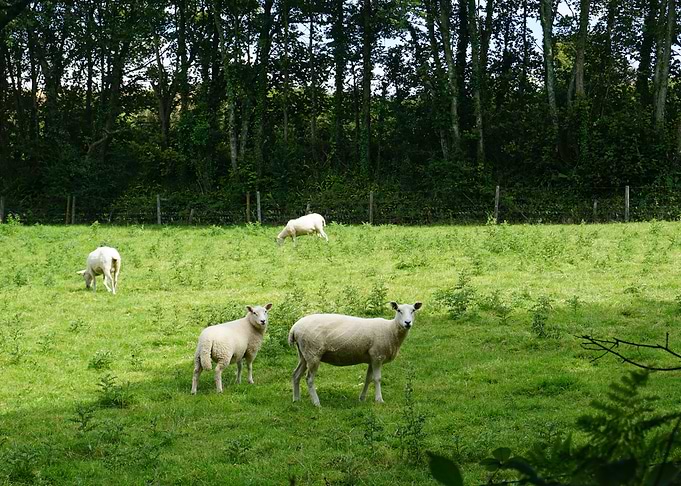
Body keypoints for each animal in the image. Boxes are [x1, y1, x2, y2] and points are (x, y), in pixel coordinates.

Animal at [288, 301, 422, 406]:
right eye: (399, 310)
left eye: (413, 310)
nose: (407, 322)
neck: (391, 329)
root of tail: (294, 328)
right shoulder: (377, 356)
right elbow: (377, 379)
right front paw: (379, 399)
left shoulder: (372, 358)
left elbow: (368, 379)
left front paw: (362, 398)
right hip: (313, 353)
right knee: (309, 379)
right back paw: (316, 403)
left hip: (304, 354)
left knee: (296, 374)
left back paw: (296, 400)